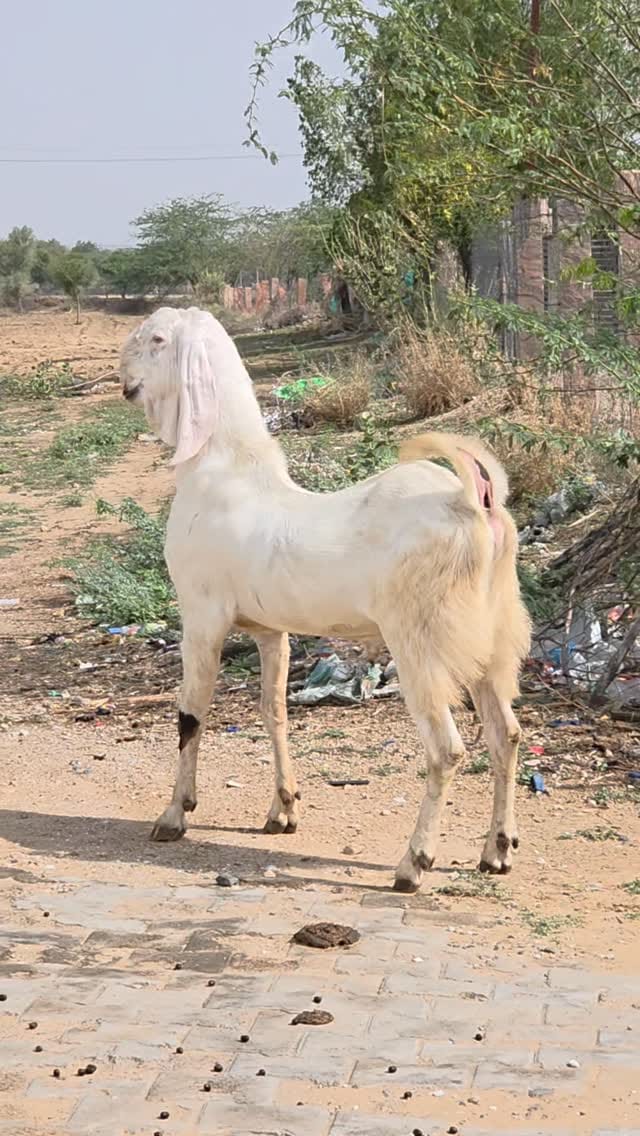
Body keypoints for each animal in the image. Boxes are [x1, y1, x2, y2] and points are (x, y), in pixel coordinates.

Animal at [120, 306, 530, 892]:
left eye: (156, 339)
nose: (124, 377)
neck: (225, 471)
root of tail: (476, 502)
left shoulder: (201, 617)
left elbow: (190, 715)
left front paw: (174, 816)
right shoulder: (270, 629)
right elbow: (273, 710)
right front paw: (283, 810)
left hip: (422, 642)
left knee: (447, 749)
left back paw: (414, 864)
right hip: (491, 642)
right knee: (506, 735)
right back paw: (496, 851)